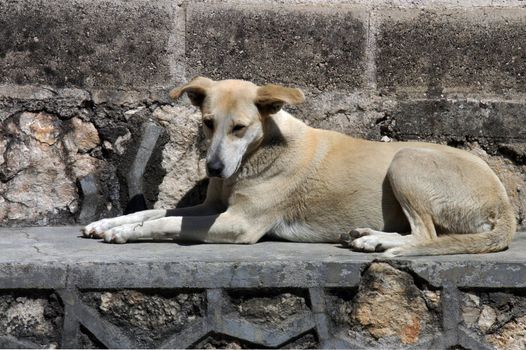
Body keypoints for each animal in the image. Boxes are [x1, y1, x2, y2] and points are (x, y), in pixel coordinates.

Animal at [80, 77, 516, 258]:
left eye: (240, 128)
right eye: (207, 123)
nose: (215, 169)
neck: (258, 153)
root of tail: (505, 205)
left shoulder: (238, 224)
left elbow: (166, 222)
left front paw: (126, 234)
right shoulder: (211, 207)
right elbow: (154, 211)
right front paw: (108, 223)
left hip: (406, 160)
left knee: (426, 234)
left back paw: (377, 243)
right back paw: (367, 235)